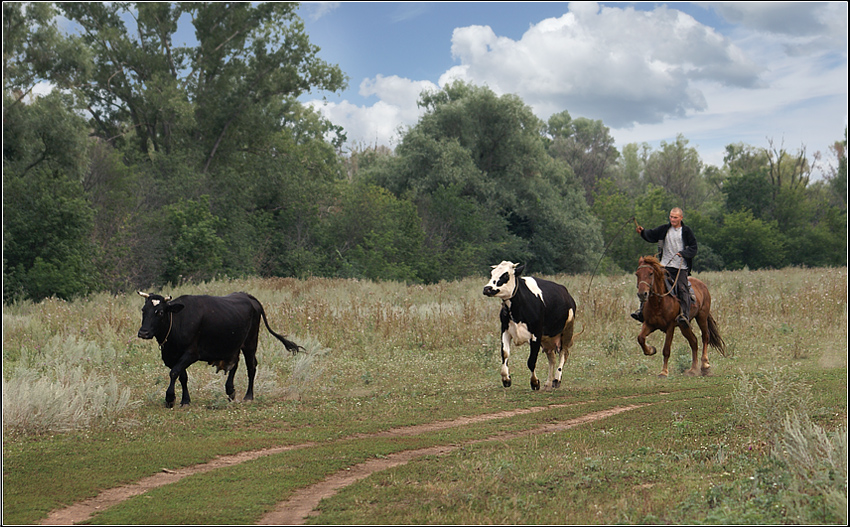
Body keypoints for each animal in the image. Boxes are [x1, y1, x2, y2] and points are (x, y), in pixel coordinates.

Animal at [136, 292, 302, 408]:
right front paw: (185, 400)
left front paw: (170, 398)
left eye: (160, 312)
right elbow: (182, 376)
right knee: (235, 364)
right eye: (143, 310)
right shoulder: (173, 356)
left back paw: (248, 396)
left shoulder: (191, 353)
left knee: (251, 367)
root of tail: (247, 296)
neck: (177, 322)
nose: (143, 332)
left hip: (250, 343)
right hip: (234, 346)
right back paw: (230, 391)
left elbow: (174, 373)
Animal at [484, 260, 576, 390]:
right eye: (492, 274)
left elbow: (531, 361)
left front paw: (535, 382)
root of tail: (567, 294)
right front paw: (506, 379)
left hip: (567, 330)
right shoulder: (505, 330)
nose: (487, 288)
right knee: (552, 358)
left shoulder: (536, 334)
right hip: (547, 339)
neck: (517, 309)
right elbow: (505, 354)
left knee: (563, 353)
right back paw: (548, 383)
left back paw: (556, 380)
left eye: (506, 275)